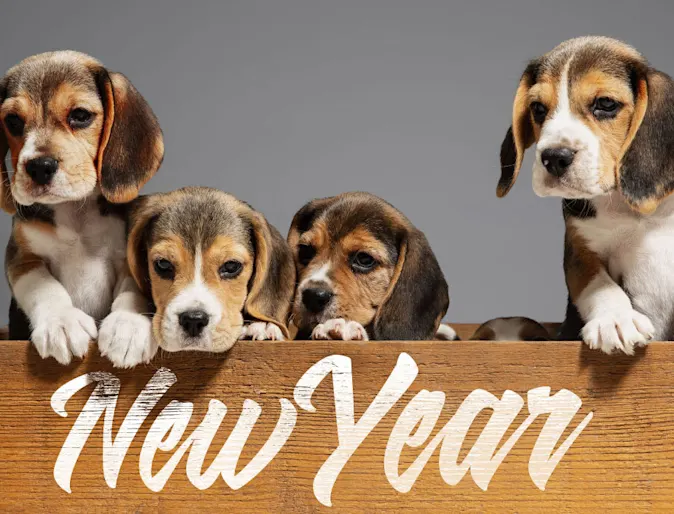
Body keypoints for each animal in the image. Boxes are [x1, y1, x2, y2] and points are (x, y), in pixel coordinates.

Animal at [0, 50, 163, 364]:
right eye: (12, 121)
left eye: (80, 116)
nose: (39, 167)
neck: (75, 211)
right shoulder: (22, 258)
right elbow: (44, 287)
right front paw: (61, 322)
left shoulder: (130, 257)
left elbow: (132, 291)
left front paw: (129, 325)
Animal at [494, 38, 674, 354]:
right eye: (538, 108)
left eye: (606, 104)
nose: (554, 157)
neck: (632, 211)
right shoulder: (580, 249)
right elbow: (599, 285)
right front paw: (616, 319)